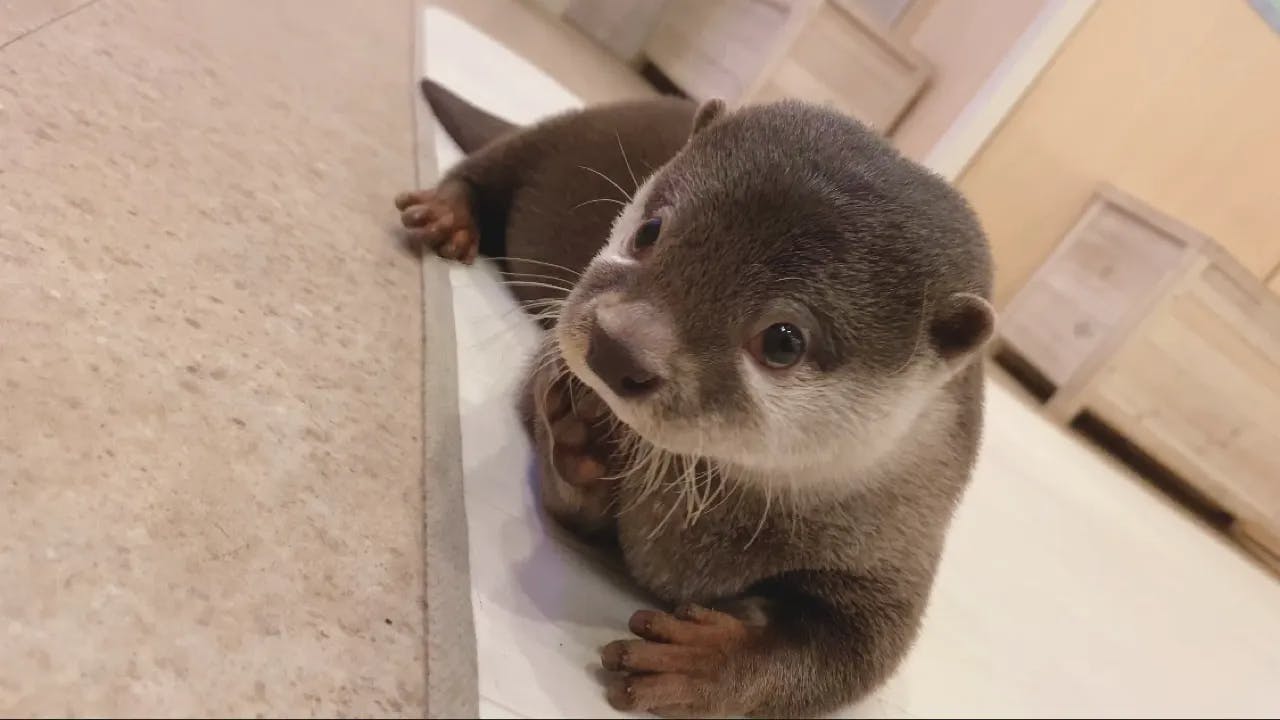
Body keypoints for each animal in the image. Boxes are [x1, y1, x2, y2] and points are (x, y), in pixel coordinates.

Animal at [397, 80, 994, 717]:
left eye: (783, 341)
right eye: (650, 230)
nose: (616, 348)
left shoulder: (894, 552)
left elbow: (854, 654)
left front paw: (701, 663)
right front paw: (582, 444)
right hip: (560, 132)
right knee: (490, 164)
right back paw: (448, 214)